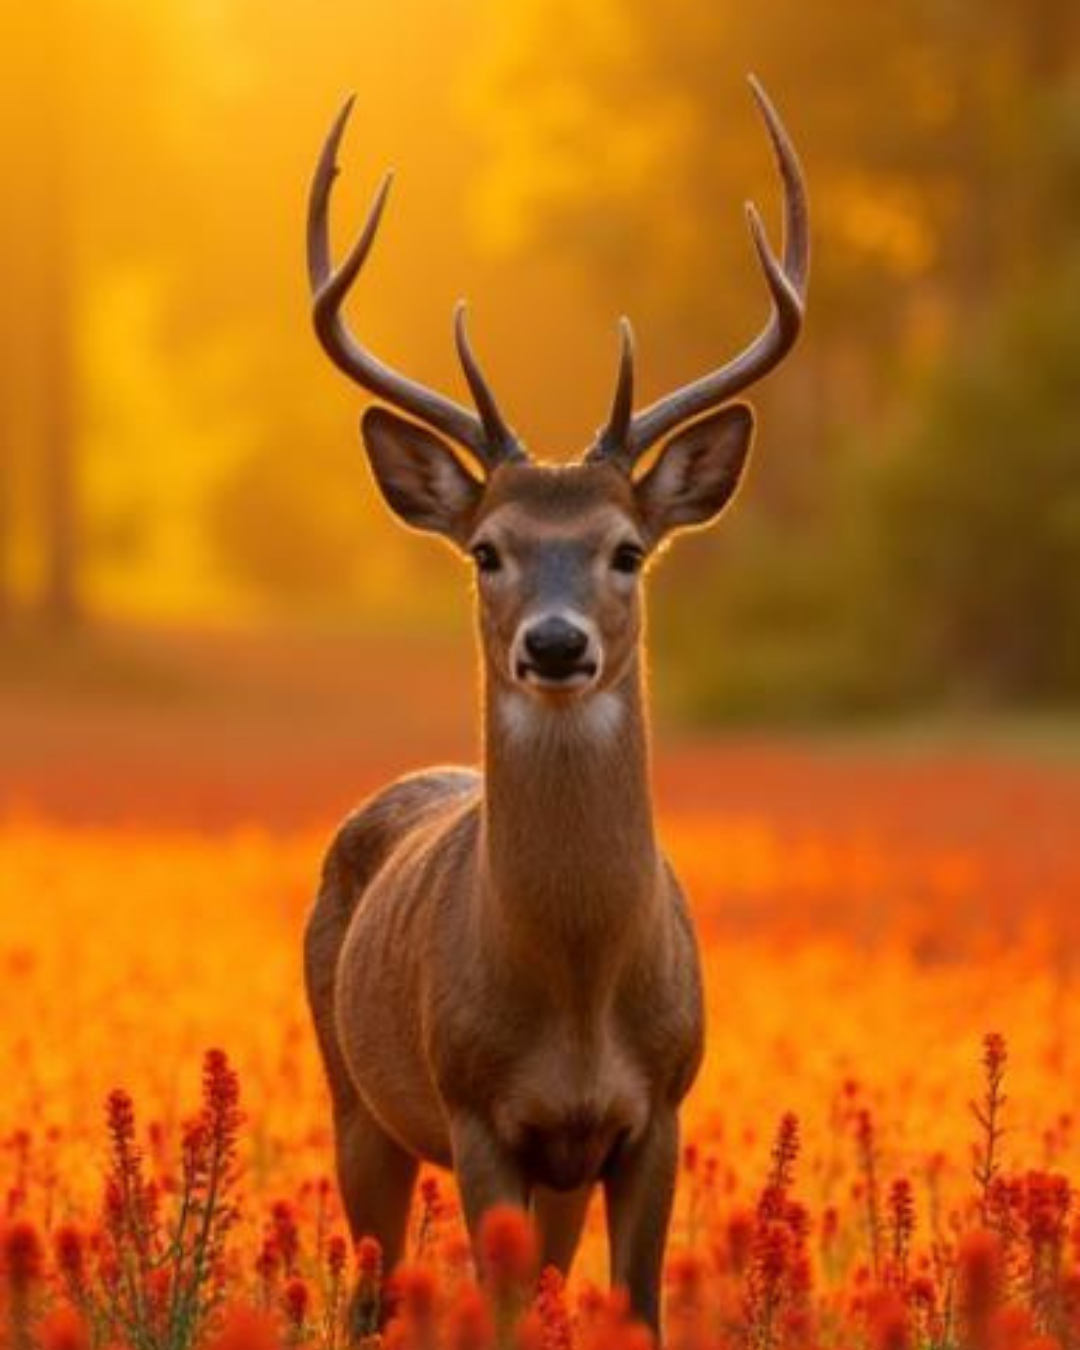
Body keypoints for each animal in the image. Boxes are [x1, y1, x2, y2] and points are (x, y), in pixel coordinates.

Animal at [303, 75, 809, 1338]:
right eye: (488, 550)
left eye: (627, 549)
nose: (555, 642)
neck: (577, 991)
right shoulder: (479, 1112)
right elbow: (493, 1311)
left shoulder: (657, 1111)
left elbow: (633, 1310)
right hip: (356, 1098)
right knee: (370, 1291)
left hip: (554, 1172)